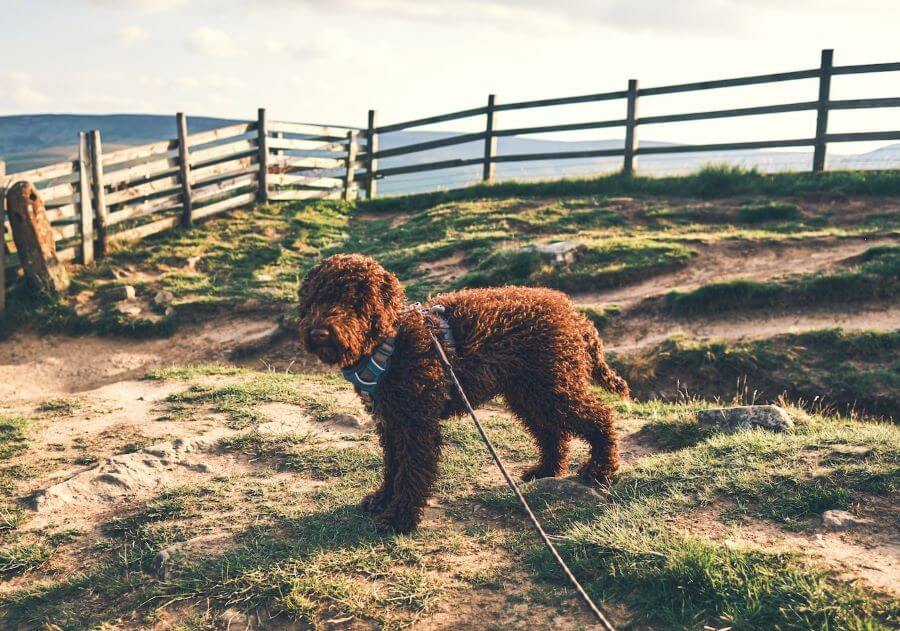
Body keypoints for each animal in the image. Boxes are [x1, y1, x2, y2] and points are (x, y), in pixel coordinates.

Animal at [298, 252, 628, 532]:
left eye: (353, 302)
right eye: (314, 299)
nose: (318, 333)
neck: (391, 341)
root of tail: (575, 315)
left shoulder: (417, 424)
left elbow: (412, 471)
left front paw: (399, 517)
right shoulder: (391, 421)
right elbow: (393, 465)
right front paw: (382, 498)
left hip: (552, 387)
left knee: (599, 416)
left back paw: (601, 468)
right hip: (530, 392)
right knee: (551, 432)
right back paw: (547, 469)